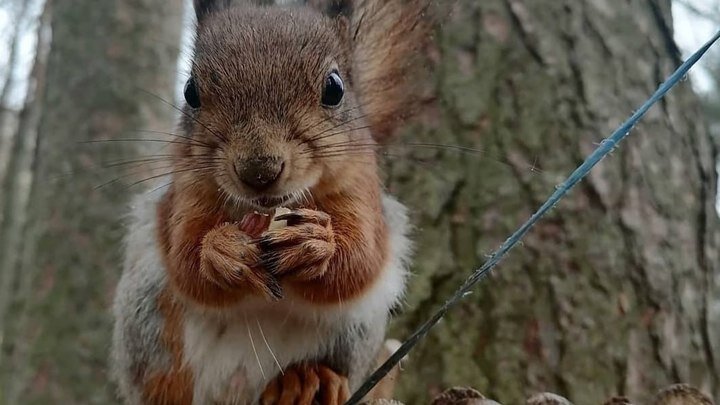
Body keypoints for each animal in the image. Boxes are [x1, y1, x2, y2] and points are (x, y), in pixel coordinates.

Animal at [111, 1, 428, 402]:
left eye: (334, 88)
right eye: (190, 91)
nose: (259, 170)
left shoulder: (360, 189)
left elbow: (361, 259)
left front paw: (316, 244)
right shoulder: (186, 189)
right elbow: (186, 258)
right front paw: (222, 251)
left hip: (355, 332)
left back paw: (307, 378)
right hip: (150, 321)